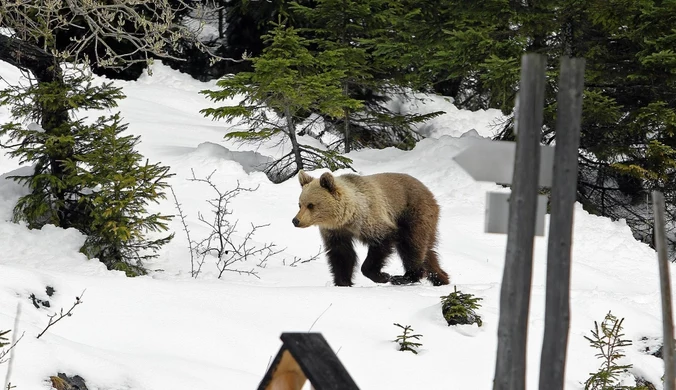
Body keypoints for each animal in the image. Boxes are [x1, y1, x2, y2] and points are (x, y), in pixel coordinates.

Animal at [294, 170, 452, 286]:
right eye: (300, 204)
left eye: (311, 205)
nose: (296, 220)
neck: (347, 217)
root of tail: (428, 191)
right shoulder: (336, 232)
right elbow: (342, 254)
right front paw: (343, 282)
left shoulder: (371, 219)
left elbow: (381, 243)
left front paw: (383, 276)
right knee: (427, 250)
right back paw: (441, 277)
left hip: (414, 212)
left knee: (411, 245)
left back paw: (405, 277)